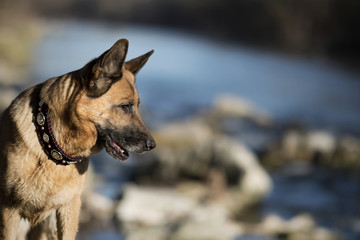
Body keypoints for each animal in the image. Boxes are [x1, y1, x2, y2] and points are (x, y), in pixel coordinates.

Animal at [0, 38, 156, 239]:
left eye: (137, 105)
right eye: (125, 106)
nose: (152, 145)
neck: (52, 146)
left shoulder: (69, 209)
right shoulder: (8, 211)